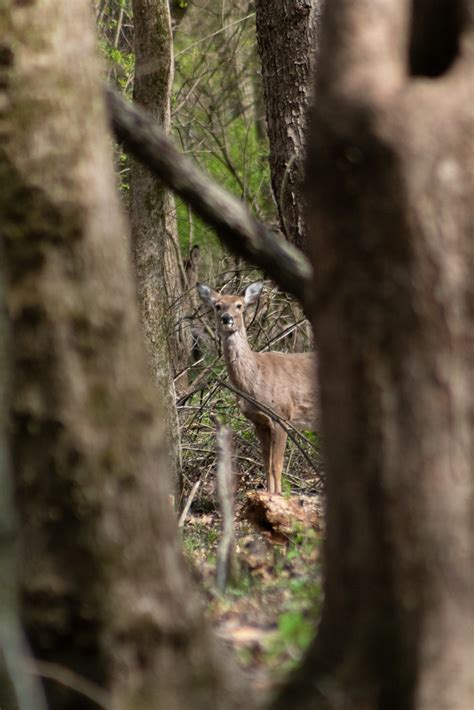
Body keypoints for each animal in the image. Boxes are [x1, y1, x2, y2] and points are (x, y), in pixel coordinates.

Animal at [196, 280, 318, 492]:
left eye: (239, 305)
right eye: (217, 306)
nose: (227, 318)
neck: (255, 380)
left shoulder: (281, 415)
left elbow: (277, 465)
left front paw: (277, 496)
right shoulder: (259, 422)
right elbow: (266, 464)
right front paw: (268, 494)